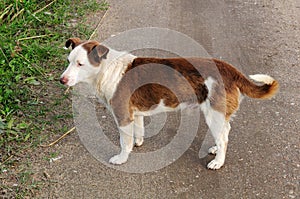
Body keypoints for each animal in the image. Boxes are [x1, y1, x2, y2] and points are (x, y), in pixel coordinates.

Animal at [59, 37, 278, 169]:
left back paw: (218, 161)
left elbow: (124, 142)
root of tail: (230, 70)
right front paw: (138, 143)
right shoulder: (135, 115)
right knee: (226, 131)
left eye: (80, 64)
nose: (61, 80)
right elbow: (138, 132)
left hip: (213, 114)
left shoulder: (123, 116)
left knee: (223, 138)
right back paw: (216, 150)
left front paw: (122, 158)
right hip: (219, 113)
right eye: (68, 61)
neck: (107, 69)